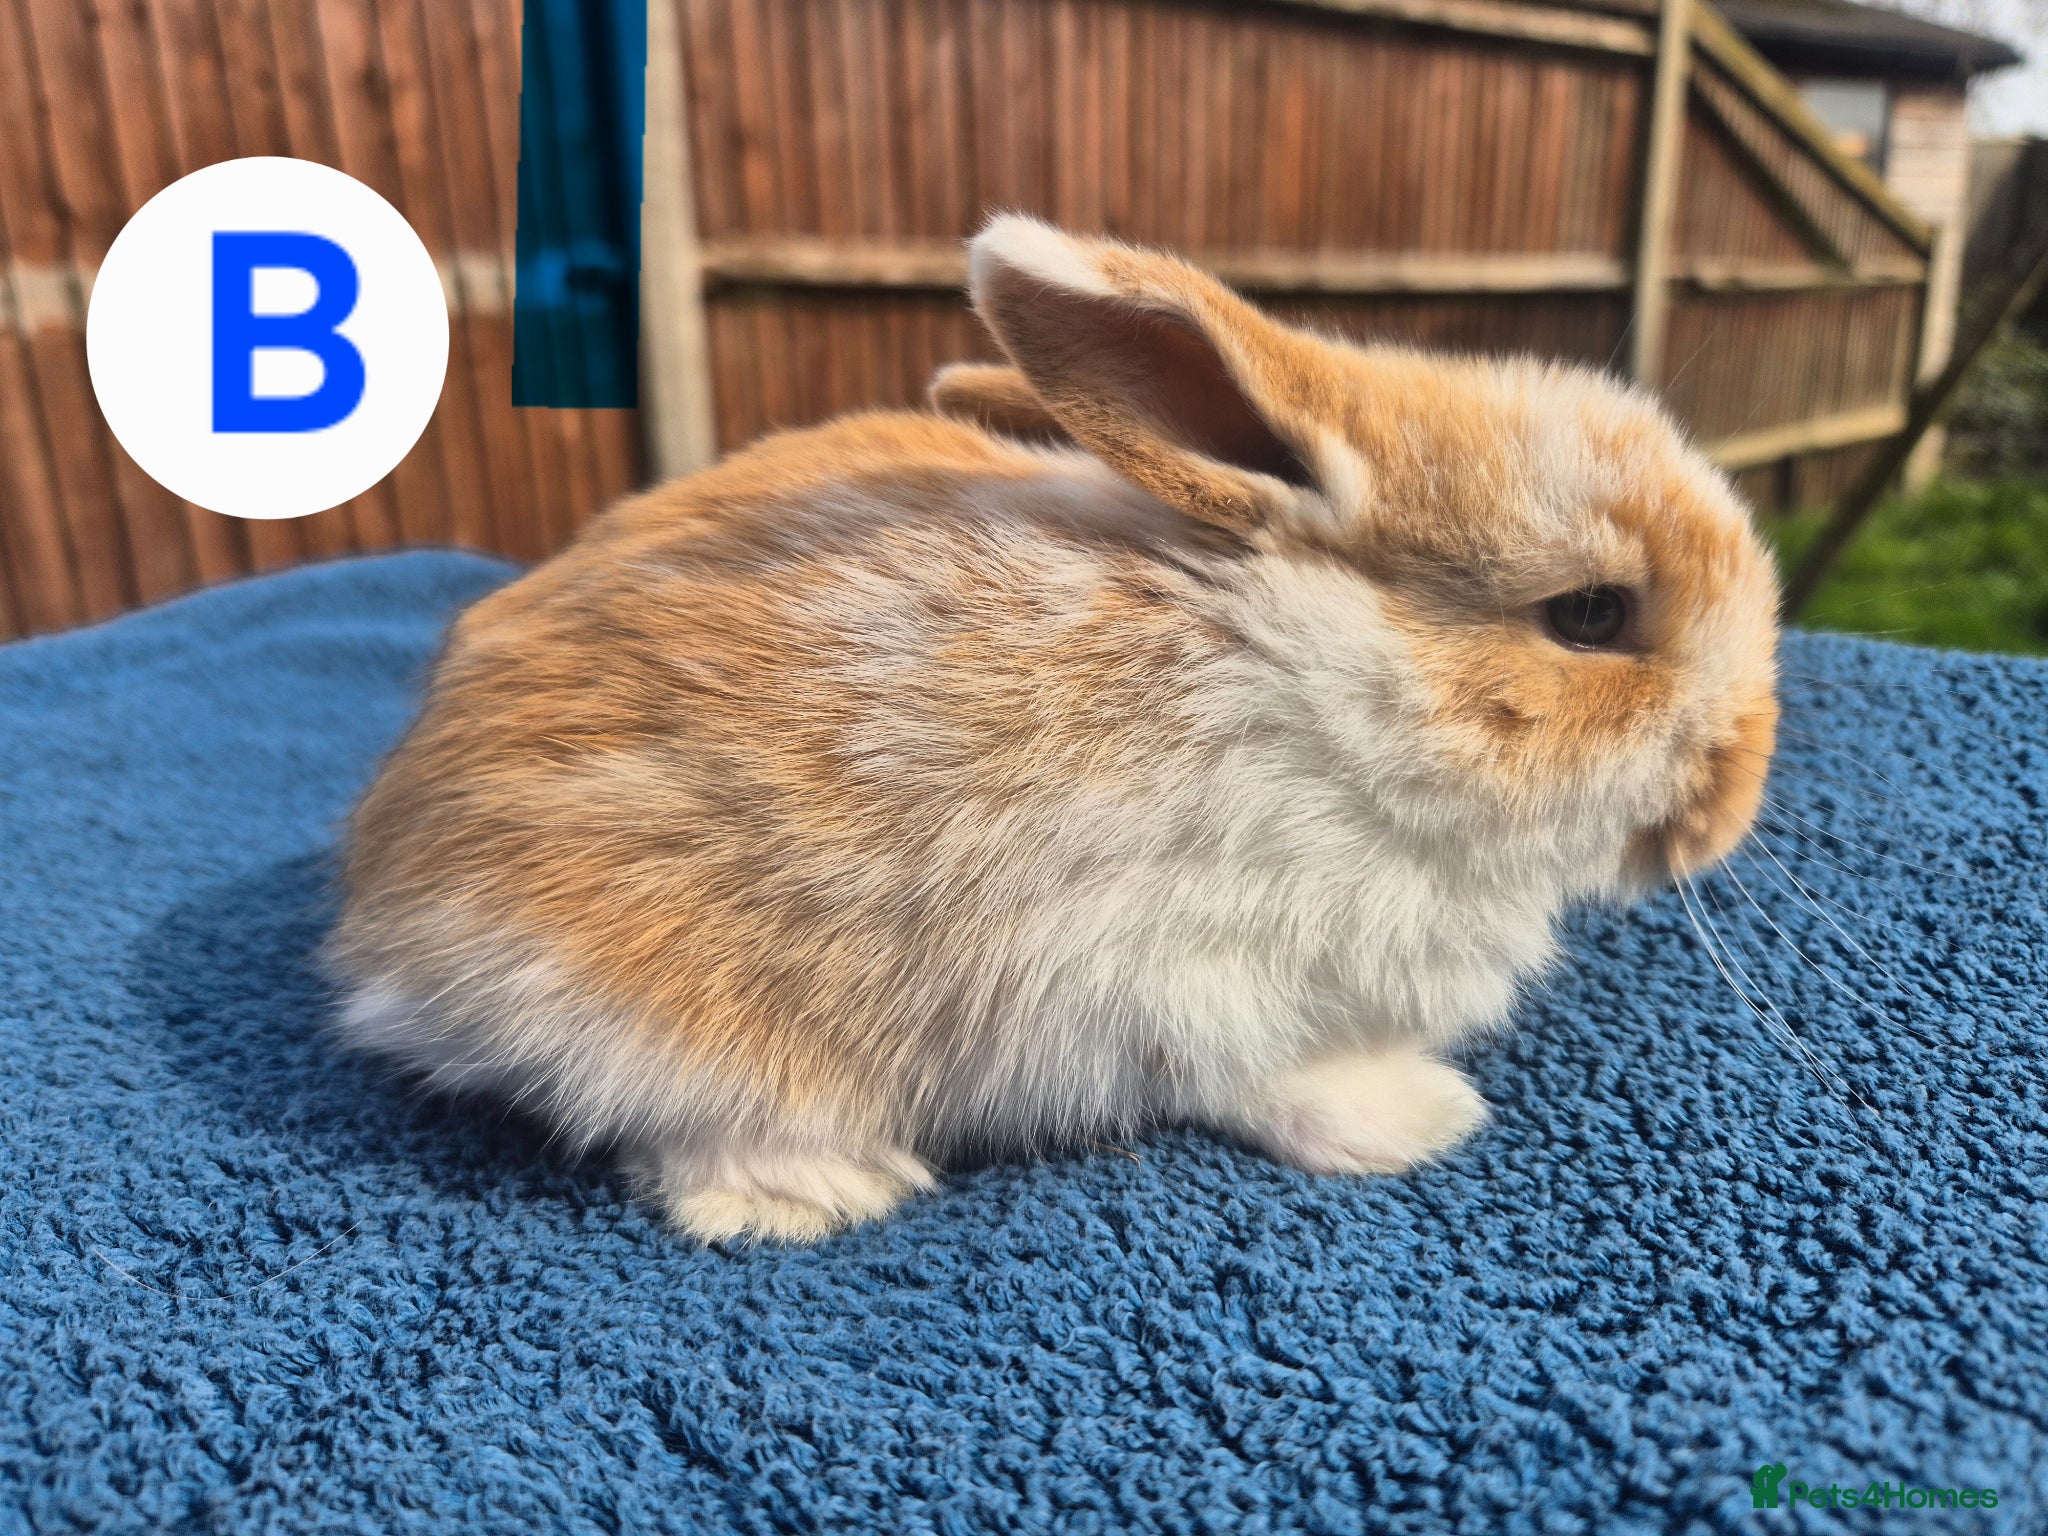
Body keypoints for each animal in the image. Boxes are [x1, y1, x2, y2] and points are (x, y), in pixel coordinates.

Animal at [327, 215, 1780, 1244]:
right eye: (1590, 615)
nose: (1737, 793)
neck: (1330, 684)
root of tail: (385, 914)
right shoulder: (1188, 980)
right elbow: (1278, 1078)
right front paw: (1424, 1118)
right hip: (634, 995)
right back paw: (818, 1189)